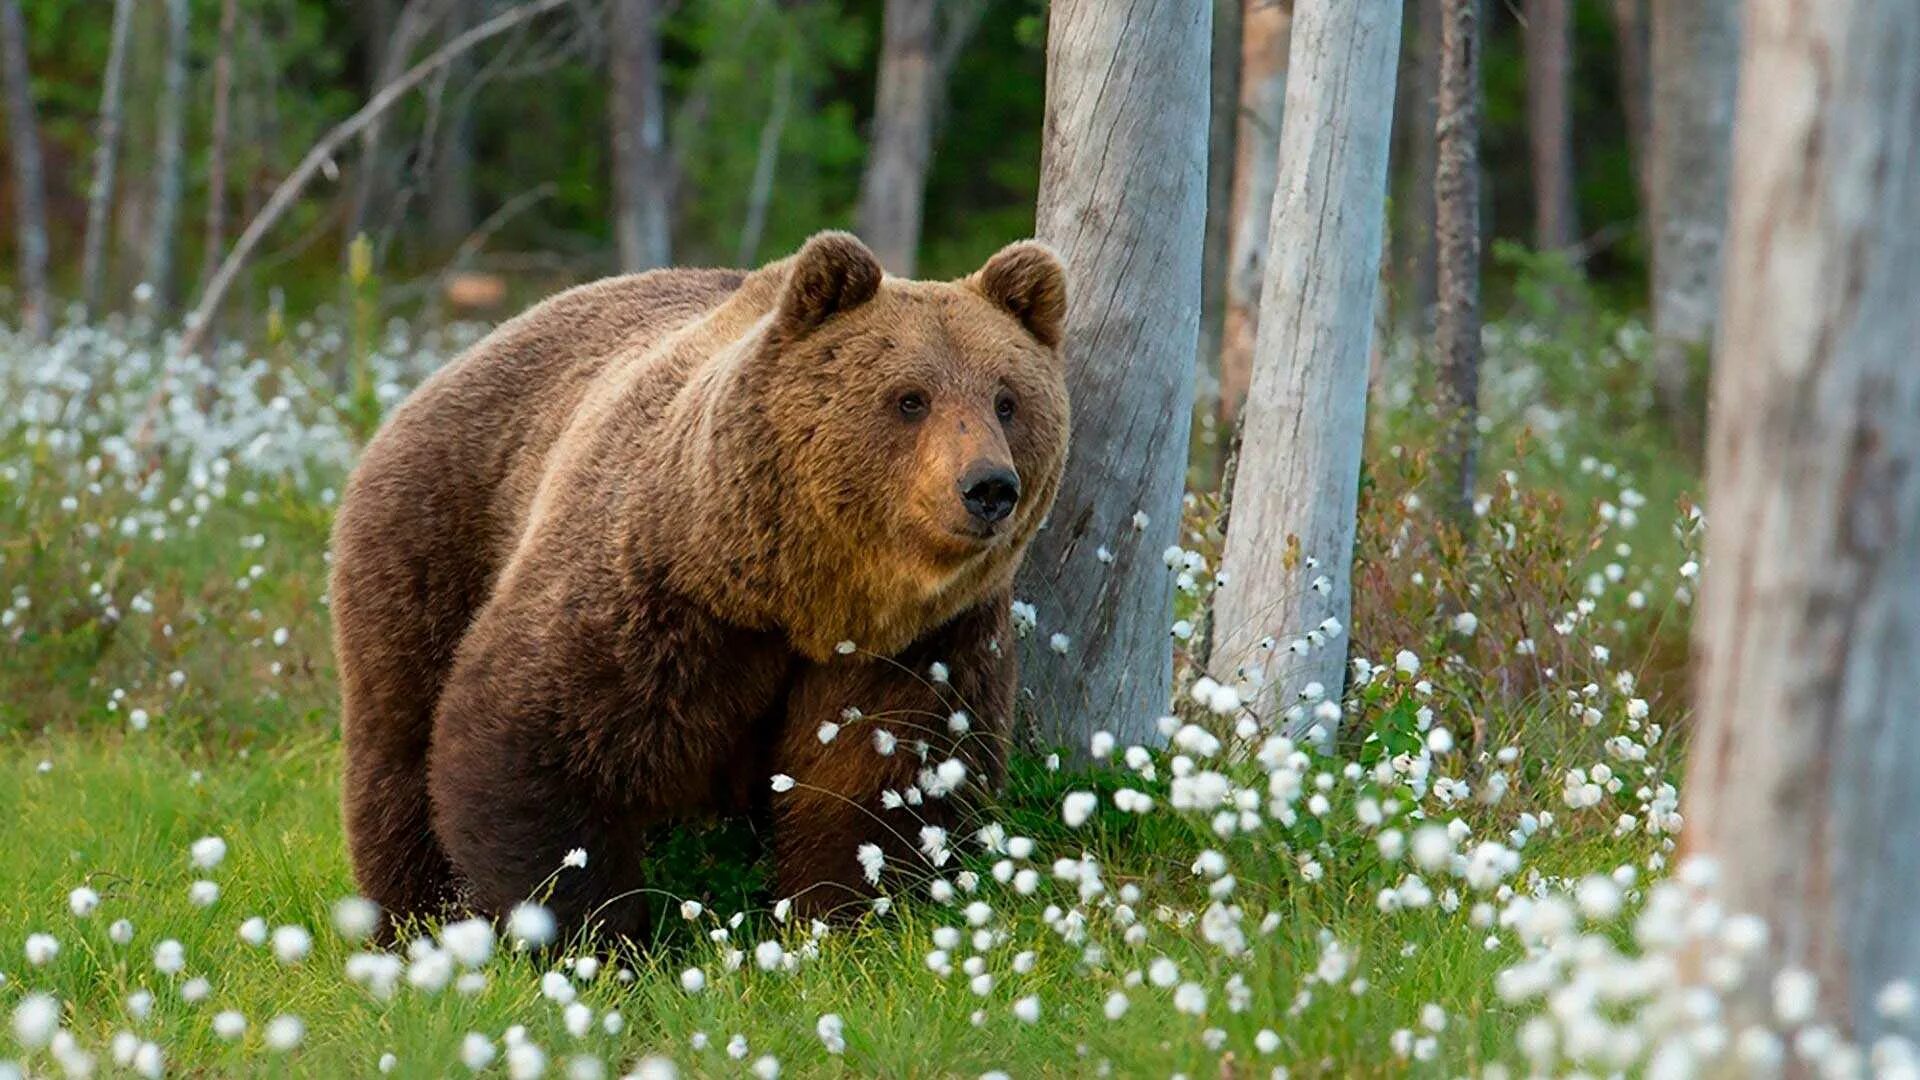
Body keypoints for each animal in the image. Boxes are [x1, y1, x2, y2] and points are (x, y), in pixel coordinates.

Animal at [336, 233, 1075, 933]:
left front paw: (841, 916)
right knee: (398, 745)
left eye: (1007, 401)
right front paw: (595, 936)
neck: (800, 597)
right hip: (432, 539)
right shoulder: (656, 595)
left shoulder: (922, 644)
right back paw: (411, 917)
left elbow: (888, 781)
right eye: (910, 399)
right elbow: (532, 743)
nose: (988, 486)